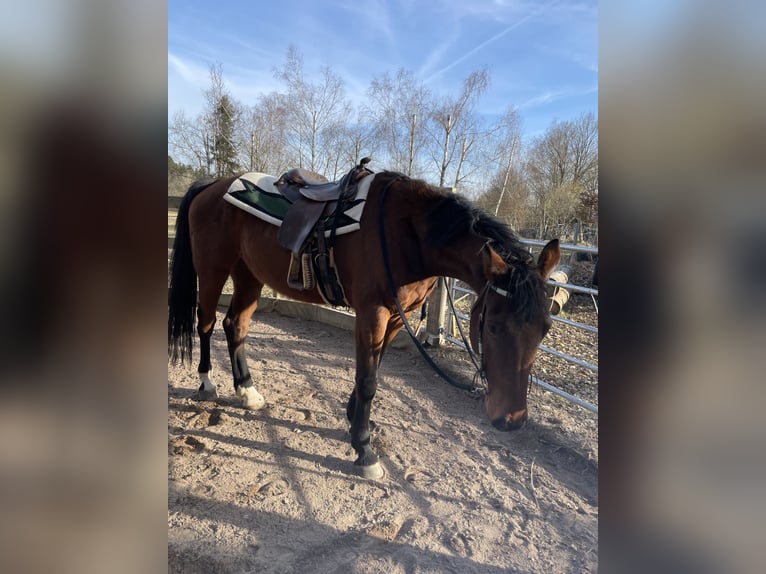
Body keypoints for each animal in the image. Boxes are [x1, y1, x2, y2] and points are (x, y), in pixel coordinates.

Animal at [168, 168, 560, 479]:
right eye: (492, 327)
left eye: (545, 329)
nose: (511, 419)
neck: (408, 234)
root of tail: (213, 184)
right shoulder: (373, 313)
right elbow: (368, 380)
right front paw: (364, 450)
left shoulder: (398, 318)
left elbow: (376, 369)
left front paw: (355, 419)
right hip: (213, 270)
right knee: (206, 324)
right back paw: (207, 384)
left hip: (249, 275)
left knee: (235, 325)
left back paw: (247, 391)